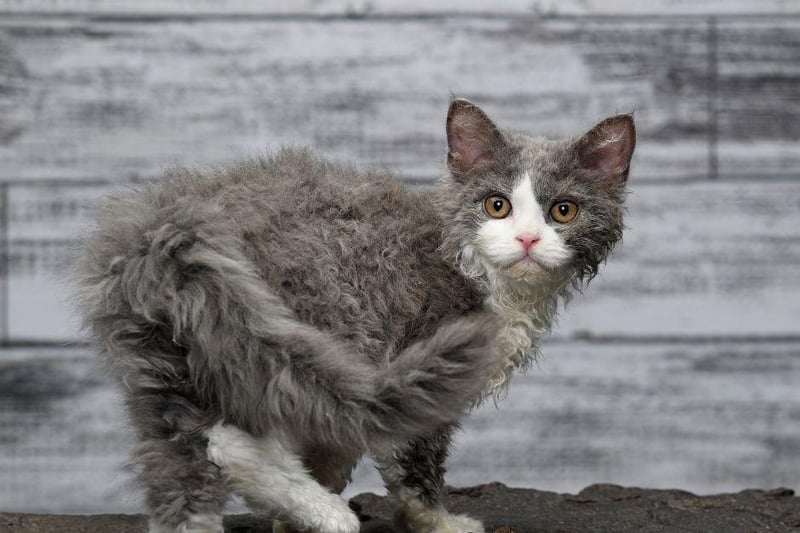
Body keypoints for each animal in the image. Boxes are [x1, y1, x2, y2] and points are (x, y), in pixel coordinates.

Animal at [76, 96, 636, 532]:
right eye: (496, 205)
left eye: (563, 211)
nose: (527, 239)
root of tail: (167, 225)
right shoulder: (423, 355)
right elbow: (412, 460)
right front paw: (433, 520)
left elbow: (339, 443)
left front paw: (292, 519)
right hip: (311, 324)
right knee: (234, 439)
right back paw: (329, 514)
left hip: (176, 352)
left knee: (183, 457)